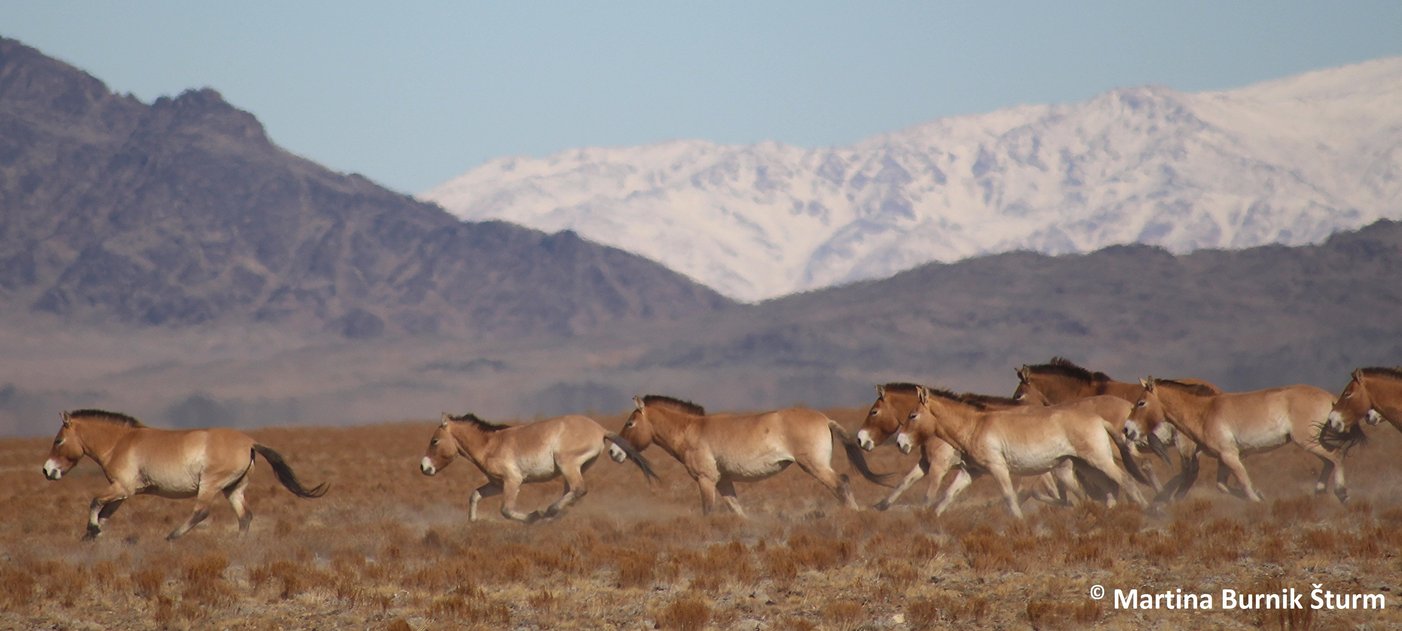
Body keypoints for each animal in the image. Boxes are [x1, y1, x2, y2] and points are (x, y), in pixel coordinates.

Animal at [41, 409, 328, 541]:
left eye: (58, 440)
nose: (47, 470)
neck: (121, 442)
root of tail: (250, 443)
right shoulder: (121, 494)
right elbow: (104, 513)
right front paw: (93, 536)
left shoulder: (122, 488)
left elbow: (94, 502)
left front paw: (92, 531)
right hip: (233, 489)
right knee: (245, 516)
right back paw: (239, 544)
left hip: (210, 485)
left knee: (201, 512)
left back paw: (172, 536)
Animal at [417, 412, 658, 518]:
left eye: (434, 441)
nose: (424, 467)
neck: (491, 444)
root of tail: (600, 429)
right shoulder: (496, 484)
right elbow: (474, 495)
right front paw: (473, 524)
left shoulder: (513, 481)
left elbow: (506, 510)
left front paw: (533, 517)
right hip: (575, 468)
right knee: (573, 492)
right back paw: (556, 514)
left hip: (566, 463)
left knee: (579, 489)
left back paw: (549, 511)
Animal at [625, 395, 897, 518]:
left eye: (629, 424)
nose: (619, 451)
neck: (693, 430)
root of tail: (824, 419)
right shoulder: (723, 481)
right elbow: (737, 510)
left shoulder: (706, 479)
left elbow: (708, 510)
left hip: (814, 465)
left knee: (841, 483)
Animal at [1115, 378, 1345, 501]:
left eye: (1141, 402)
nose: (1127, 429)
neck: (1204, 412)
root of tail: (1331, 398)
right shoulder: (1223, 458)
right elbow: (1222, 486)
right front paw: (1260, 494)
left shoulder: (1230, 455)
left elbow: (1244, 483)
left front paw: (1257, 501)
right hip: (1311, 442)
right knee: (1329, 461)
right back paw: (1320, 492)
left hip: (1308, 441)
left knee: (1335, 457)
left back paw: (1341, 492)